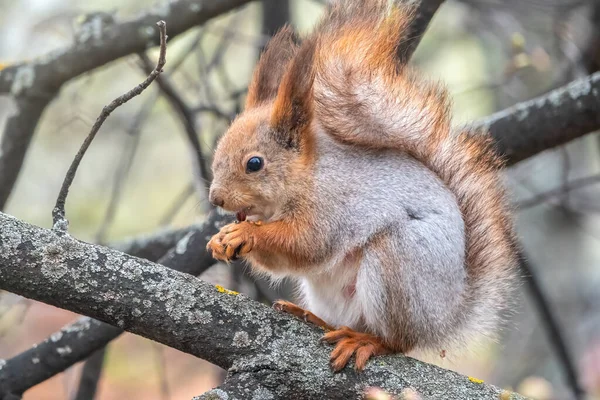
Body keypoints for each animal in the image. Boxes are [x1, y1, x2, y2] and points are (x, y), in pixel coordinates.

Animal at [205, 0, 516, 374]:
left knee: (397, 340)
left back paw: (366, 341)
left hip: (399, 263)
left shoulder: (332, 205)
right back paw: (312, 317)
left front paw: (246, 234)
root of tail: (445, 317)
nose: (216, 197)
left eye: (254, 163)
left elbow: (306, 245)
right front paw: (221, 239)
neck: (306, 175)